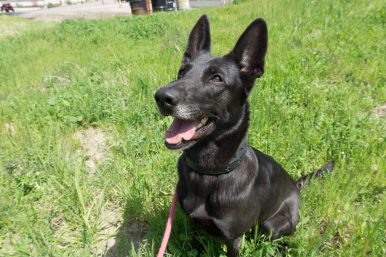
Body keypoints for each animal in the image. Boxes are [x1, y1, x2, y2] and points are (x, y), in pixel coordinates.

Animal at [155, 15, 334, 255]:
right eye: (182, 73)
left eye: (217, 79)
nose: (161, 96)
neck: (209, 172)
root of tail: (295, 187)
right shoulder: (193, 226)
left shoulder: (233, 238)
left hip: (272, 225)